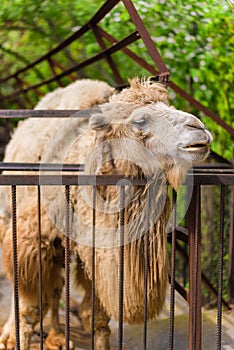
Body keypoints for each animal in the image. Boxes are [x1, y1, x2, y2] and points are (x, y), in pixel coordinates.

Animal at [0, 78, 212, 348]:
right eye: (140, 120)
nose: (199, 128)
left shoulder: (96, 249)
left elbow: (96, 317)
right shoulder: (34, 239)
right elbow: (29, 310)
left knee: (57, 287)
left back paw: (57, 336)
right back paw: (13, 333)